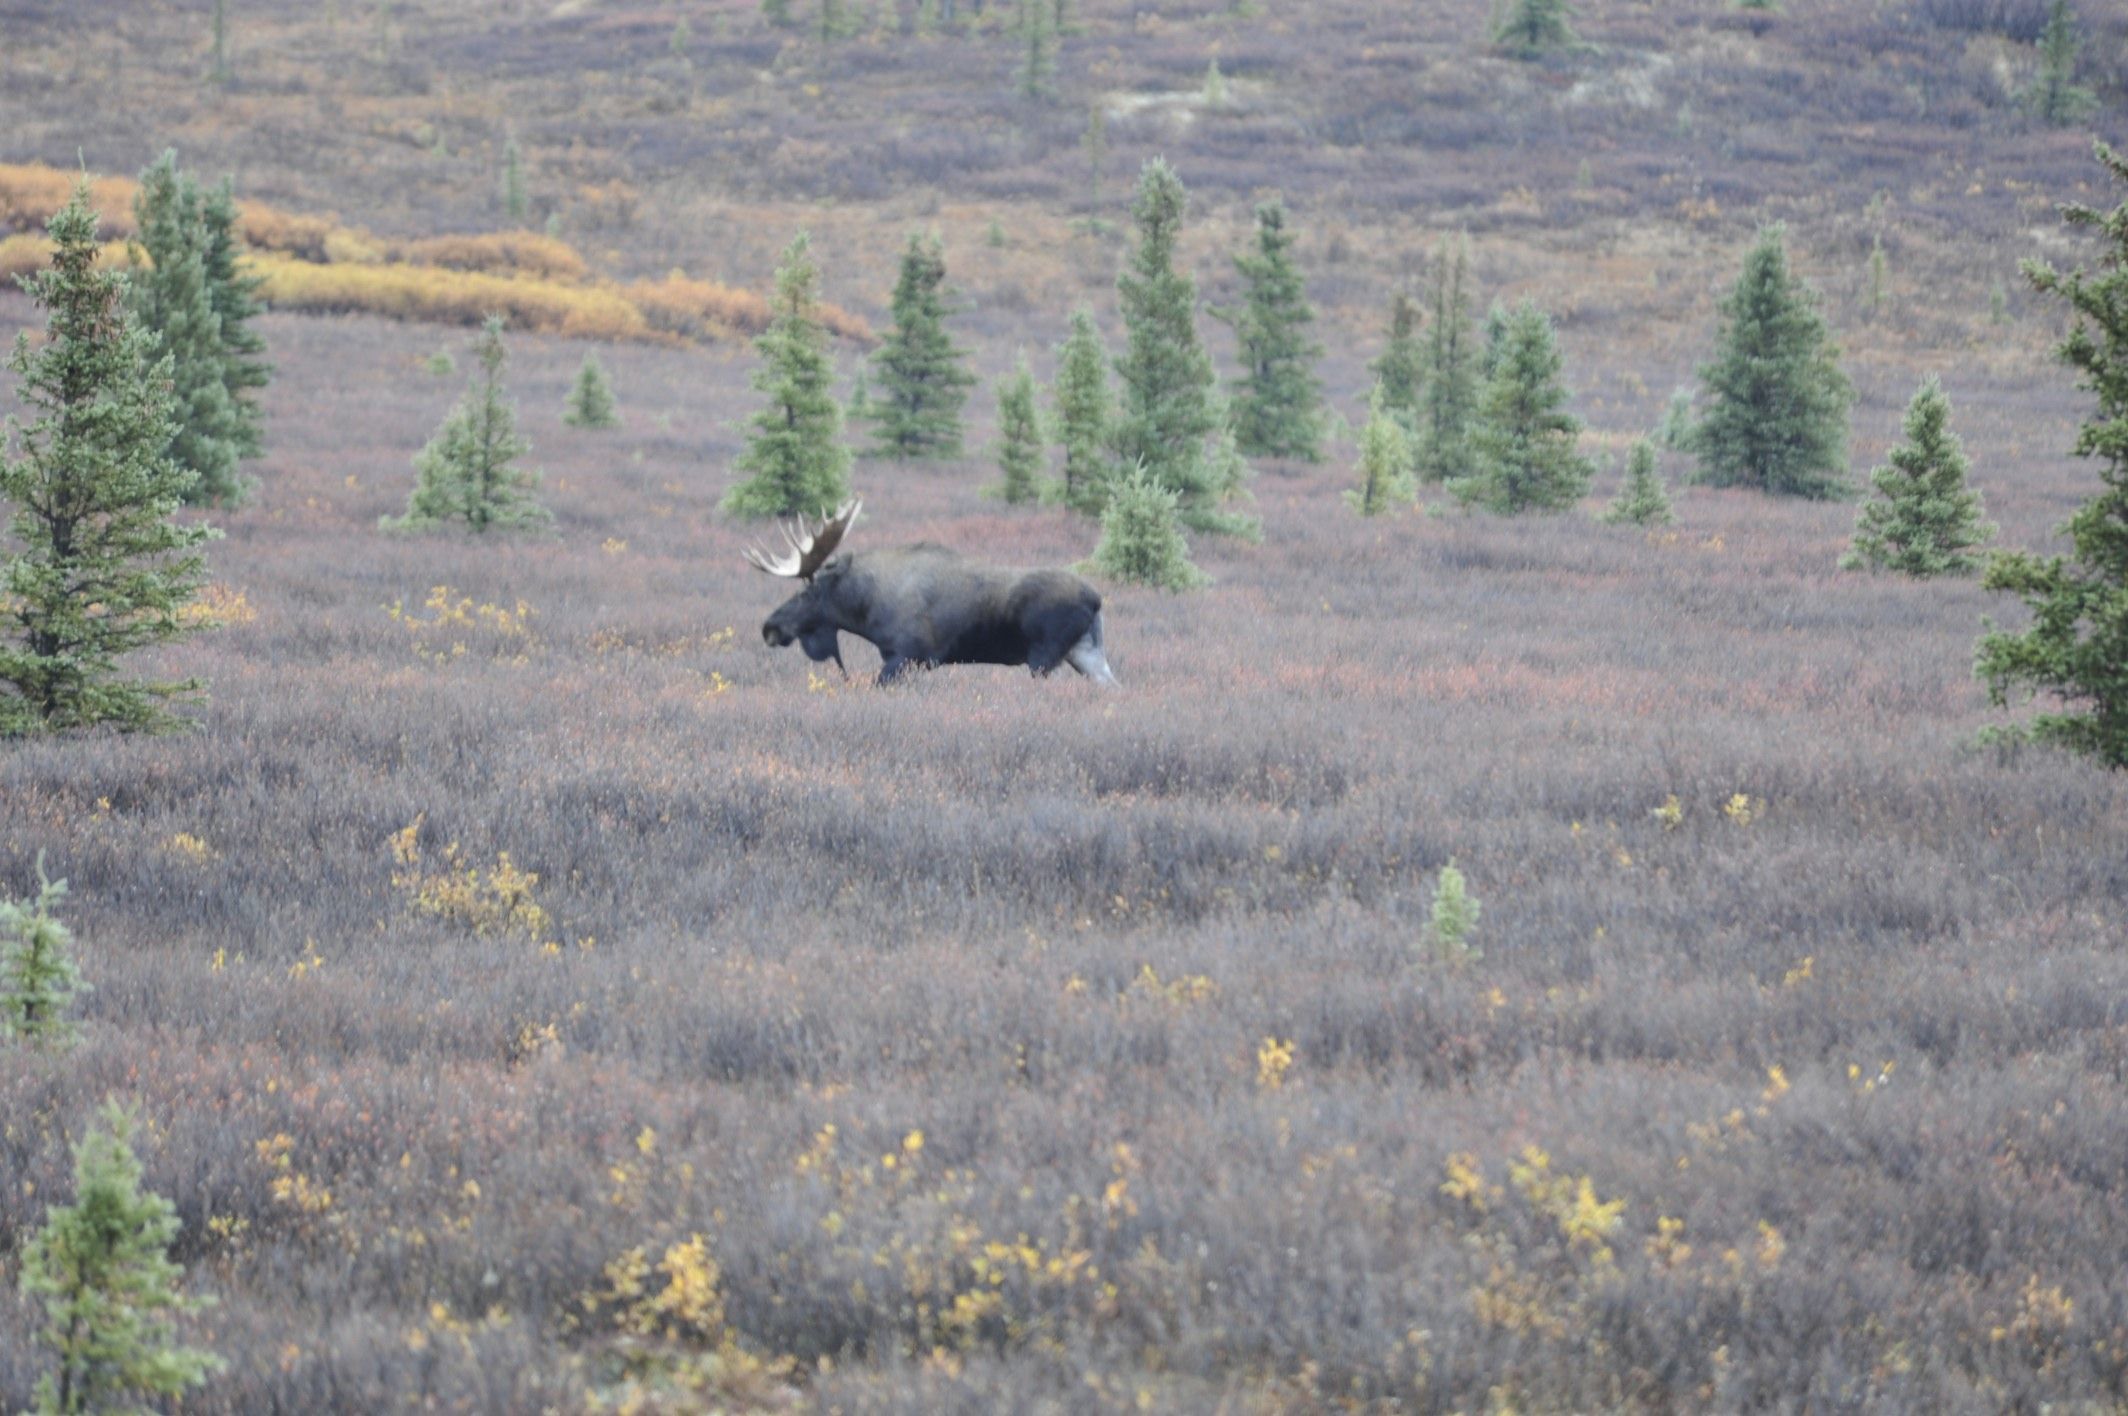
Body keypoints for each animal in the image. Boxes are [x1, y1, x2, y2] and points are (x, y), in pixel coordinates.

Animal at [744, 500, 1123, 685]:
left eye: (806, 594)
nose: (769, 627)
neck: (865, 609)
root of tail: (1096, 599)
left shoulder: (909, 655)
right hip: (1086, 653)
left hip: (1044, 656)